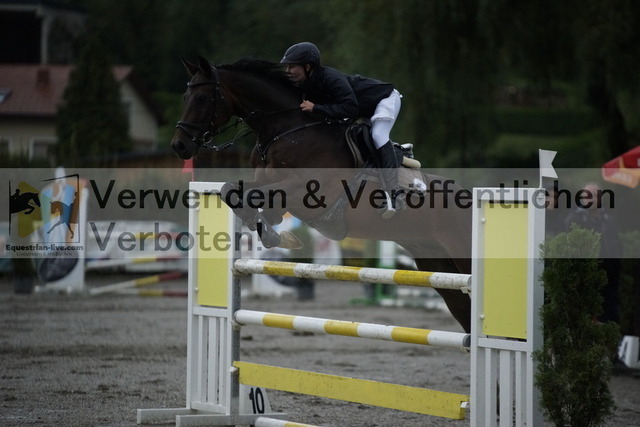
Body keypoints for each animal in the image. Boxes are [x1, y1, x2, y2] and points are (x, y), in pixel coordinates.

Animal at [171, 56, 473, 333]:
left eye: (201, 98)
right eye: (185, 96)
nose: (179, 146)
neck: (286, 129)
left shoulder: (303, 191)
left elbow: (248, 194)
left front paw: (273, 234)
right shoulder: (270, 183)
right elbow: (232, 191)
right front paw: (271, 230)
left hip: (460, 252)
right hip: (433, 258)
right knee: (461, 306)